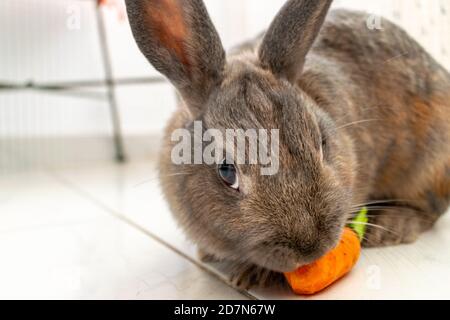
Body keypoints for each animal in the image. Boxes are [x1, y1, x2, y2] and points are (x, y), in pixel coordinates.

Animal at [124, 0, 450, 288]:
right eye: (227, 172)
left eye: (321, 142)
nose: (311, 249)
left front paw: (253, 274)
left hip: (430, 163)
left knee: (431, 207)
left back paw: (393, 226)